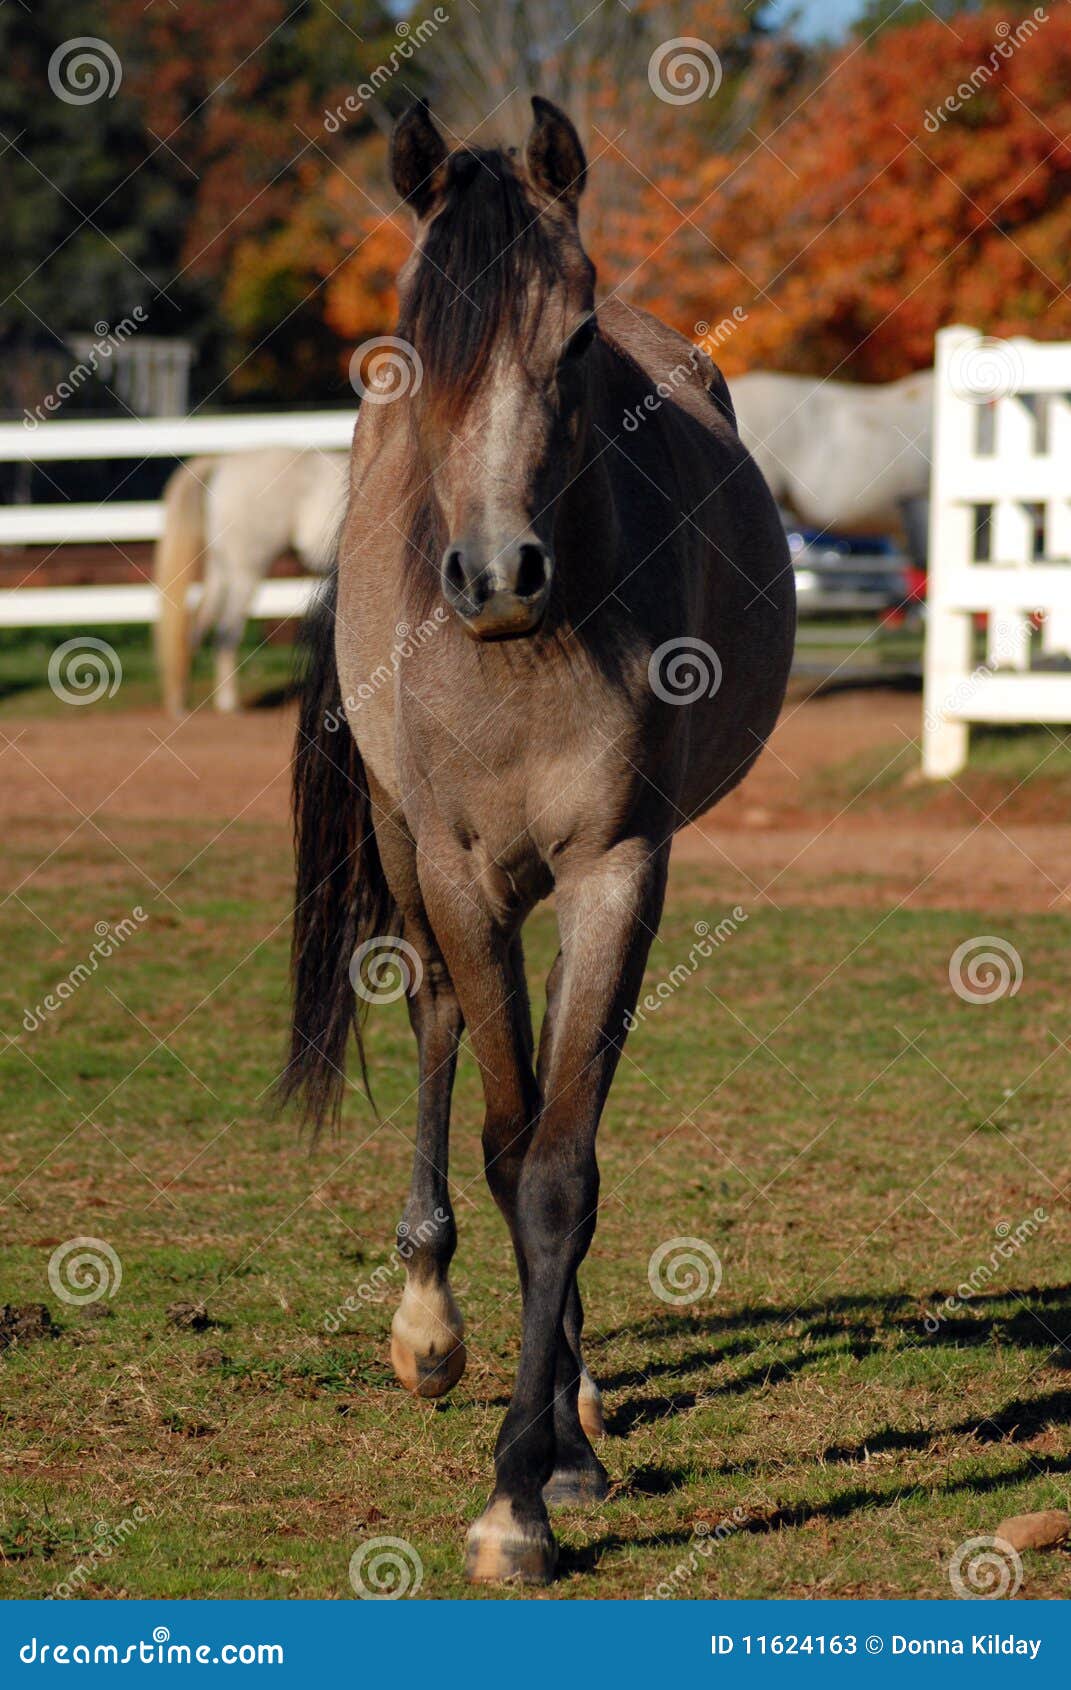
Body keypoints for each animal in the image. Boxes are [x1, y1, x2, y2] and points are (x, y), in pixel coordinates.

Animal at [154, 447, 348, 715]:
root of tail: (223, 462)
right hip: (246, 573)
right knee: (226, 632)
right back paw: (228, 702)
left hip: (221, 571)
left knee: (197, 628)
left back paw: (182, 699)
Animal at [282, 96, 795, 1585]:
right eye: (413, 341)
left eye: (570, 340)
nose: (498, 574)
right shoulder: (460, 870)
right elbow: (510, 1141)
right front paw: (510, 1465)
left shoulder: (618, 866)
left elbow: (563, 1166)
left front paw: (538, 1475)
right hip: (410, 852)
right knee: (439, 1020)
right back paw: (431, 1325)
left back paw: (569, 1396)